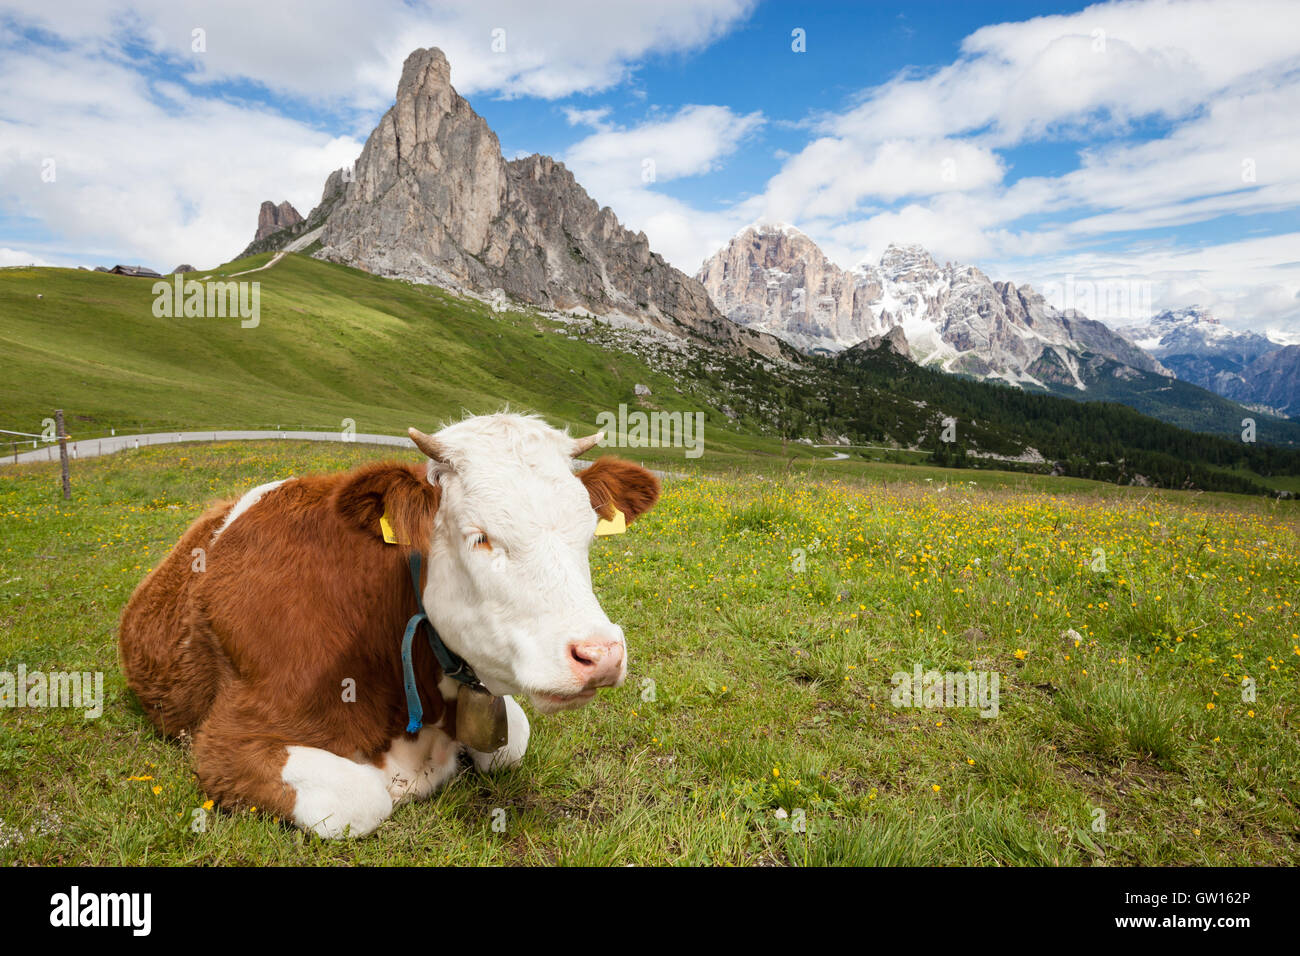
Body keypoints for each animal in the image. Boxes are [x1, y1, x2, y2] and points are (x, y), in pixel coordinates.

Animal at [118, 413, 660, 838]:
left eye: (587, 532)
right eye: (480, 536)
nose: (600, 654)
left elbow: (511, 744)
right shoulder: (226, 743)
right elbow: (363, 799)